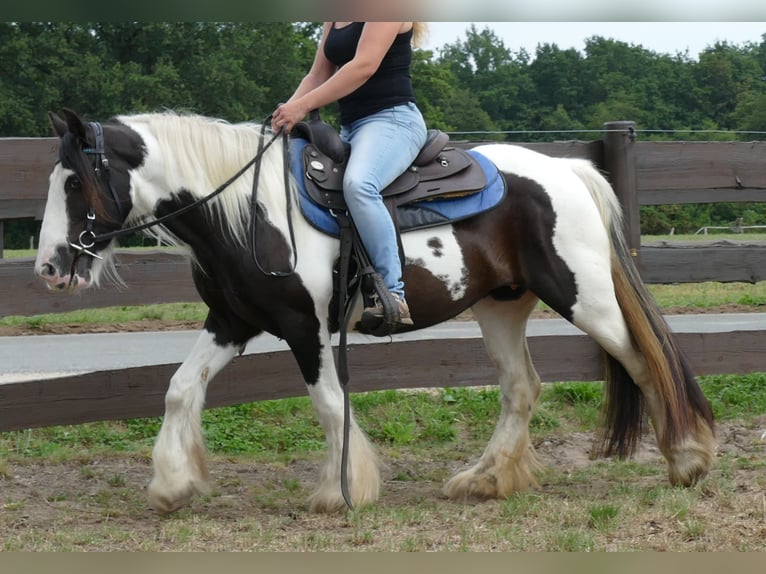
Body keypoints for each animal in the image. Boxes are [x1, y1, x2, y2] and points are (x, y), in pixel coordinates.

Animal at [34, 110, 720, 516]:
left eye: (73, 181)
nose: (49, 268)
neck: (248, 210)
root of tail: (569, 171)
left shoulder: (304, 328)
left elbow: (328, 402)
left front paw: (345, 491)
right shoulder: (232, 322)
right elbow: (180, 389)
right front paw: (173, 484)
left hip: (585, 297)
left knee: (645, 360)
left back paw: (687, 459)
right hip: (501, 308)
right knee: (521, 387)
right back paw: (484, 479)